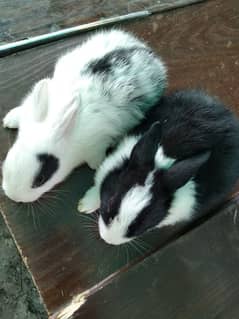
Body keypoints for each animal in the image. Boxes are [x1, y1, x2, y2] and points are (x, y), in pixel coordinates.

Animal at [1, 28, 167, 202]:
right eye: (8, 158)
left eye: (40, 179)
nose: (13, 196)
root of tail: (146, 50)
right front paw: (9, 119)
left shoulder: (95, 146)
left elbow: (96, 161)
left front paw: (97, 166)